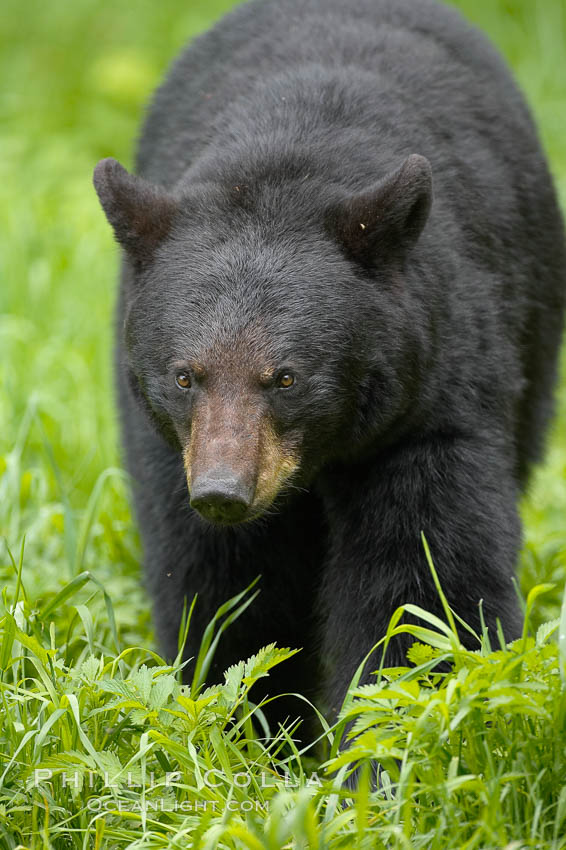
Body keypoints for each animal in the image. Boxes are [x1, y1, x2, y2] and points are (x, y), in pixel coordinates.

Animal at [94, 0, 566, 724]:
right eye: (184, 375)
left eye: (287, 376)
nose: (224, 491)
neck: (289, 157)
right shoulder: (171, 448)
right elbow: (223, 585)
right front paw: (256, 720)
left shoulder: (430, 404)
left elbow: (420, 581)